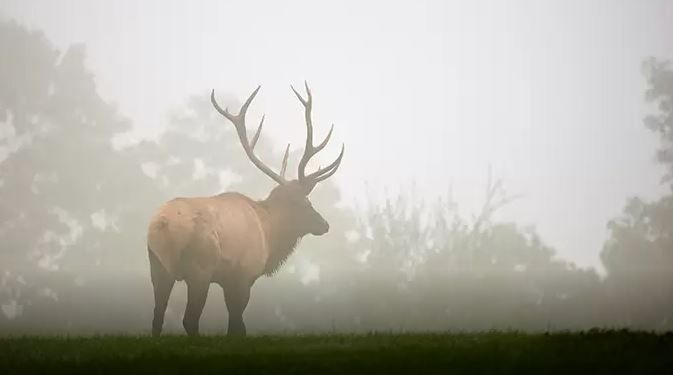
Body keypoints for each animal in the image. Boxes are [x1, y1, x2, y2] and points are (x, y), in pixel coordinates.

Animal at [148, 83, 346, 338]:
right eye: (306, 203)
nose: (325, 224)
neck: (269, 232)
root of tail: (162, 225)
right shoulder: (243, 274)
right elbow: (237, 326)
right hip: (200, 268)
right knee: (189, 319)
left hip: (157, 266)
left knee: (157, 316)